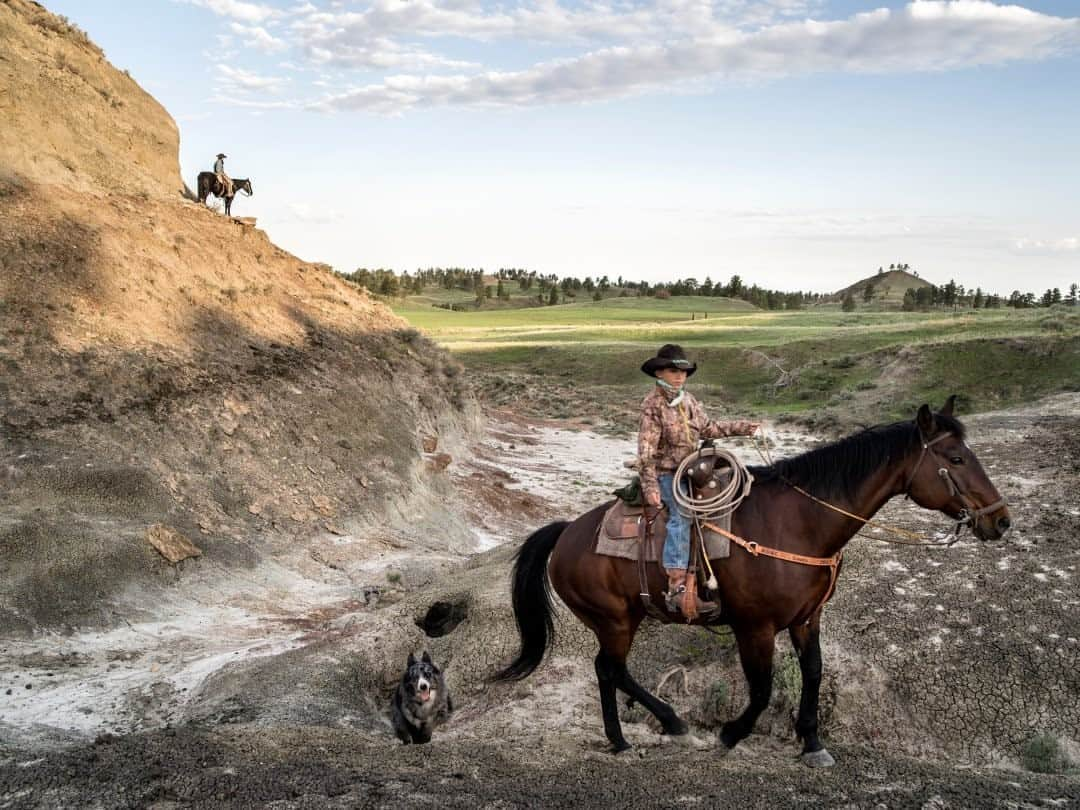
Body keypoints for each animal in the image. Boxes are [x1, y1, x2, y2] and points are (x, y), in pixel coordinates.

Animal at [494, 399, 1006, 768]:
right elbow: (761, 690)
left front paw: (812, 742)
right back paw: (643, 731)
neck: (799, 524)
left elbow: (813, 673)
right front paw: (731, 732)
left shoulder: (807, 618)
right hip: (614, 620)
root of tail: (567, 532)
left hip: (623, 618)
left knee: (609, 671)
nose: (1000, 520)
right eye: (956, 457)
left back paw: (640, 731)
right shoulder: (754, 627)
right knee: (610, 670)